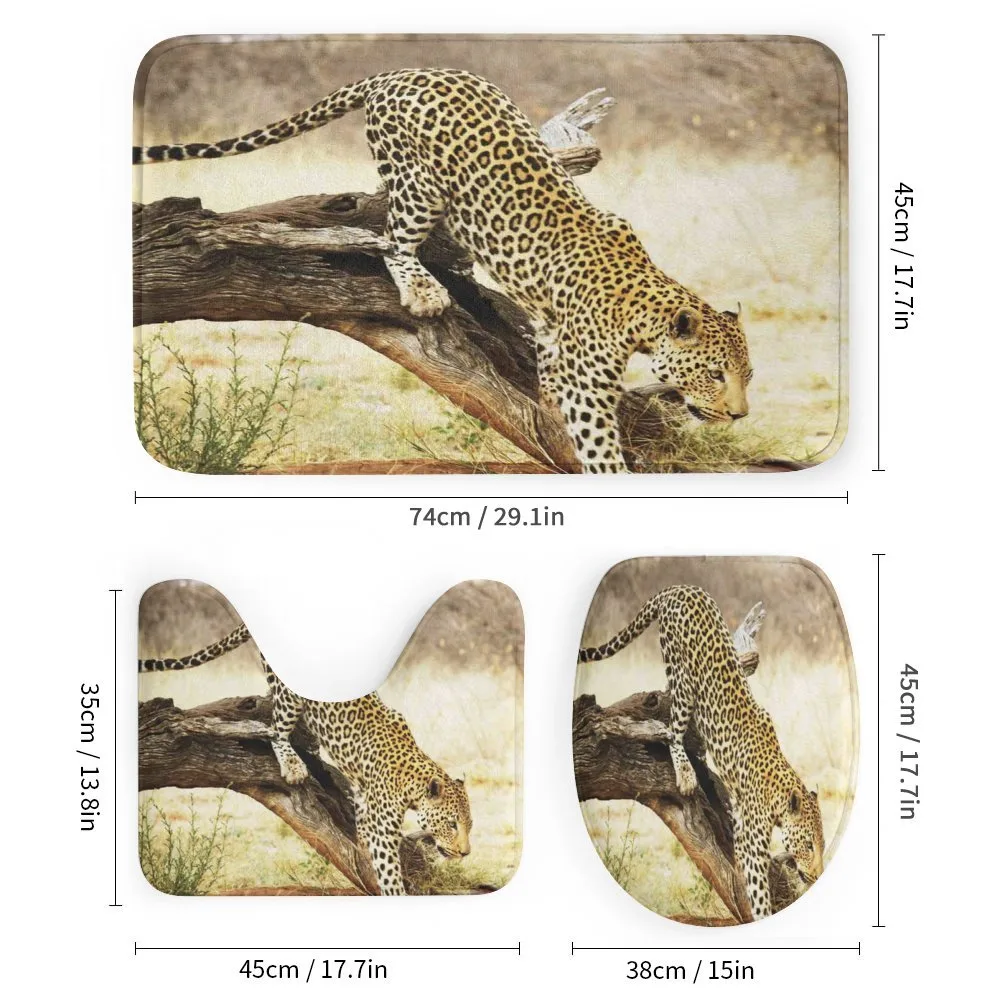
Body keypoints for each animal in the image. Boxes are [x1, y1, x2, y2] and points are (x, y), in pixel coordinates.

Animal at [134, 67, 752, 473]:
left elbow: (547, 368)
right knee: (389, 239)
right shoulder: (588, 383)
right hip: (418, 185)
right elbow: (598, 447)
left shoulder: (555, 340)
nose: (741, 415)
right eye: (715, 373)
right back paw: (423, 289)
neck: (641, 308)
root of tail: (398, 72)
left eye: (747, 375)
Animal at [139, 624, 472, 895]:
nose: (466, 853)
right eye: (452, 824)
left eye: (469, 824)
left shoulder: (365, 800)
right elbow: (388, 870)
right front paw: (395, 892)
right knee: (275, 730)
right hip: (287, 692)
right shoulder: (383, 826)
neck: (412, 779)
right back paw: (293, 763)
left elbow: (361, 824)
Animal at [579, 585, 823, 920]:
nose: (817, 875)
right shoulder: (752, 842)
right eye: (809, 844)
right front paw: (762, 915)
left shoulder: (742, 829)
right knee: (671, 726)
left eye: (822, 843)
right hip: (682, 677)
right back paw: (684, 770)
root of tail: (678, 588)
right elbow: (758, 891)